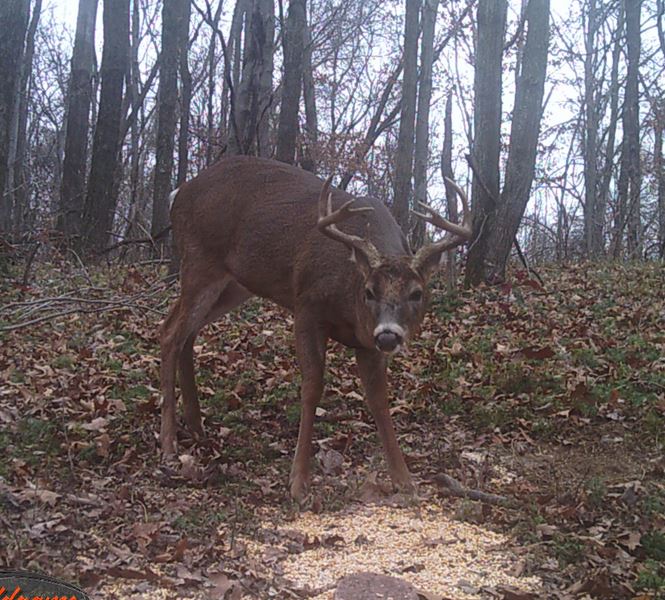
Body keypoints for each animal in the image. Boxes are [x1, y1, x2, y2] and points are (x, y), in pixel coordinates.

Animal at [160, 155, 472, 502]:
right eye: (369, 291)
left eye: (417, 293)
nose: (389, 334)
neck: (349, 299)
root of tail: (178, 193)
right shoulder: (307, 309)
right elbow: (311, 388)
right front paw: (298, 482)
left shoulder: (368, 341)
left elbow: (378, 399)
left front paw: (405, 480)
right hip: (199, 261)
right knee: (170, 332)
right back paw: (169, 444)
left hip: (235, 284)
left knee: (187, 333)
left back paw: (197, 428)